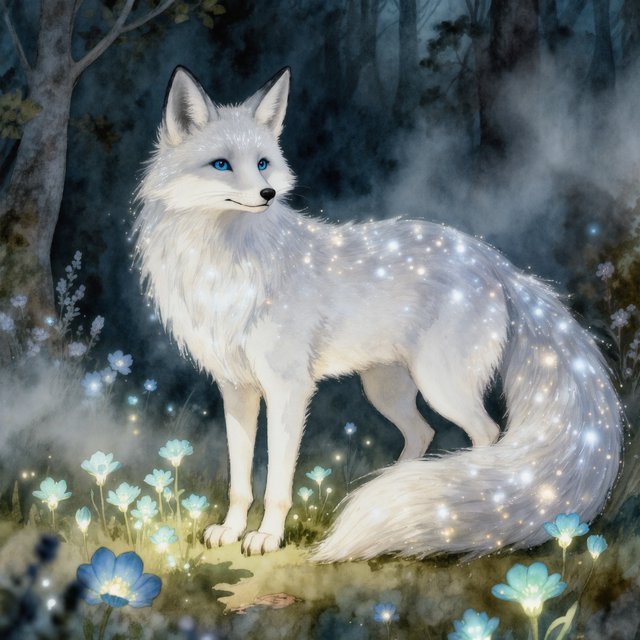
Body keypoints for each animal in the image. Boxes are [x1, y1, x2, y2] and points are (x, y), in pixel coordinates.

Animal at [134, 66, 622, 561]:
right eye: (221, 165)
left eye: (263, 163)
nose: (267, 194)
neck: (225, 269)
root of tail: (494, 261)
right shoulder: (236, 389)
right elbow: (239, 479)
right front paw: (231, 532)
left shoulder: (289, 388)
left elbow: (277, 484)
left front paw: (268, 537)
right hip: (385, 389)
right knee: (423, 434)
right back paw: (405, 491)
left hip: (441, 386)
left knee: (487, 434)